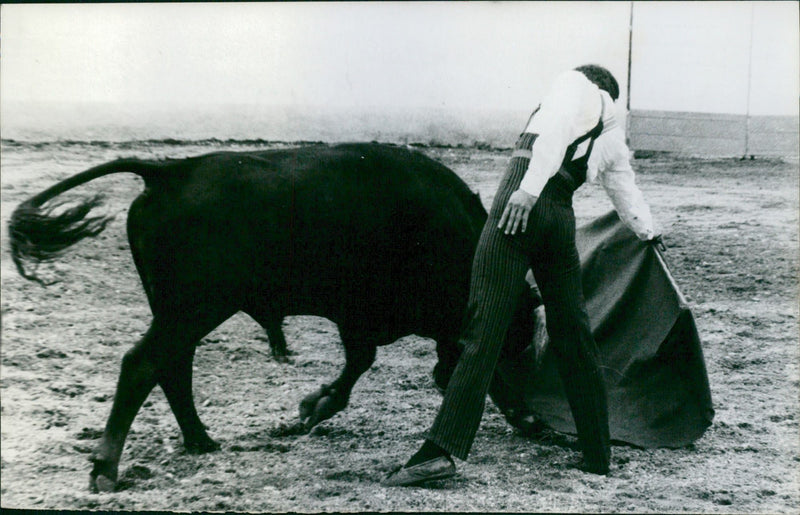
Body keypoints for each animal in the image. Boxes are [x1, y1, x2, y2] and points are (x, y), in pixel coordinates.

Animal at [7, 141, 536, 492]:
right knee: (143, 364)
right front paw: (313, 408)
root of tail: (172, 171)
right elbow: (360, 362)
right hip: (193, 309)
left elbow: (357, 364)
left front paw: (312, 407)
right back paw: (106, 469)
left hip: (182, 313)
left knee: (171, 366)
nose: (534, 420)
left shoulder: (357, 321)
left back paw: (200, 440)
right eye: (514, 342)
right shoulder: (359, 318)